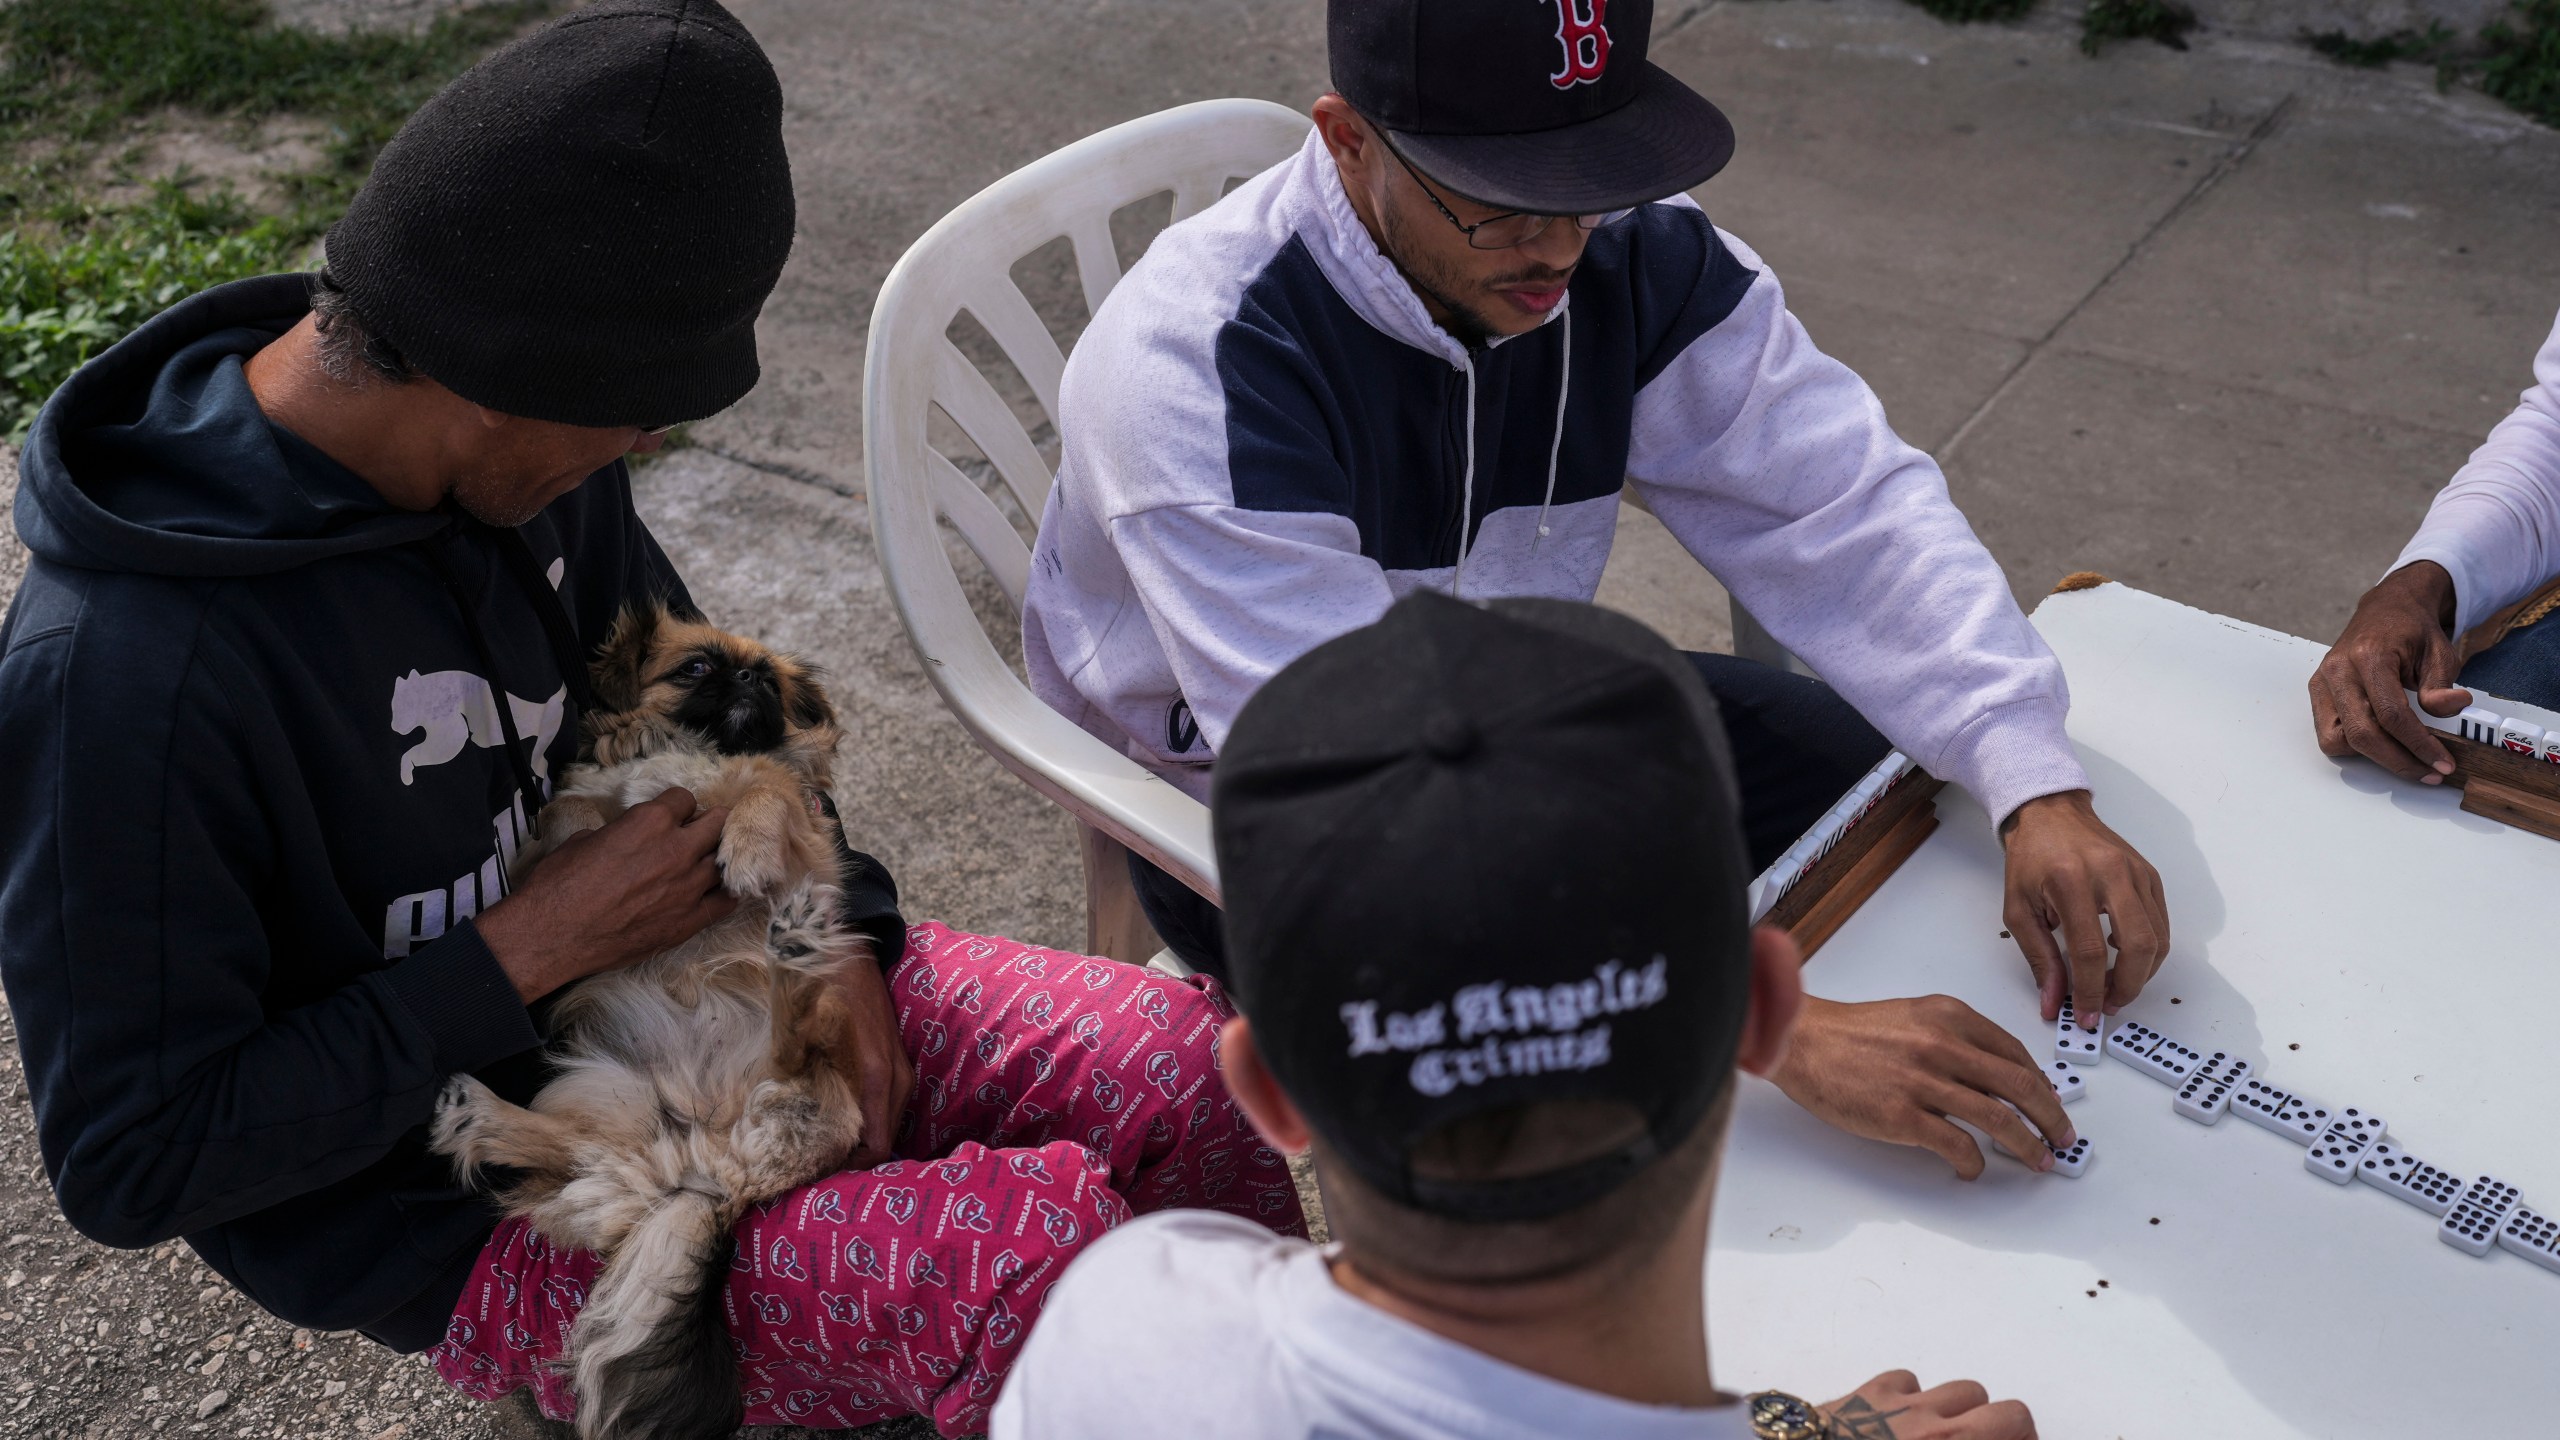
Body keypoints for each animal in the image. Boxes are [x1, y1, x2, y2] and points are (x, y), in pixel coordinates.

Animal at [430, 604, 870, 1434]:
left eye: (772, 684)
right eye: (696, 669)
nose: (749, 675)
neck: (695, 754)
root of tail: (715, 1177)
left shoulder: (800, 827)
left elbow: (764, 793)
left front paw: (746, 851)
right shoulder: (554, 845)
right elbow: (573, 813)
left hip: (812, 1086)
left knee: (796, 1034)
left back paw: (793, 951)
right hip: (614, 1097)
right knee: (575, 1151)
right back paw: (480, 1114)